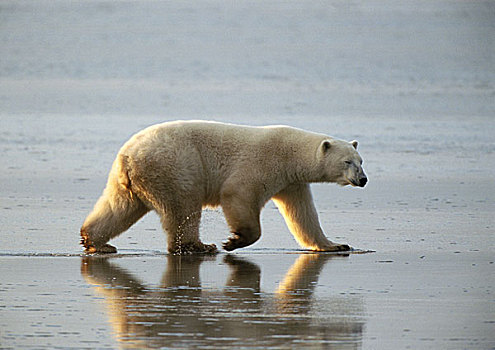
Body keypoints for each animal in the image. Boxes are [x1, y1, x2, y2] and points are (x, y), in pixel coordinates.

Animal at [80, 120, 368, 254]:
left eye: (361, 160)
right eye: (347, 161)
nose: (363, 179)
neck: (291, 153)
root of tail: (128, 157)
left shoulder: (292, 183)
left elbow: (303, 215)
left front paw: (336, 245)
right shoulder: (263, 163)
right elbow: (239, 193)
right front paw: (235, 240)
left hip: (130, 180)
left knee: (119, 207)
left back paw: (95, 241)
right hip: (173, 165)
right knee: (183, 207)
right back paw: (199, 246)